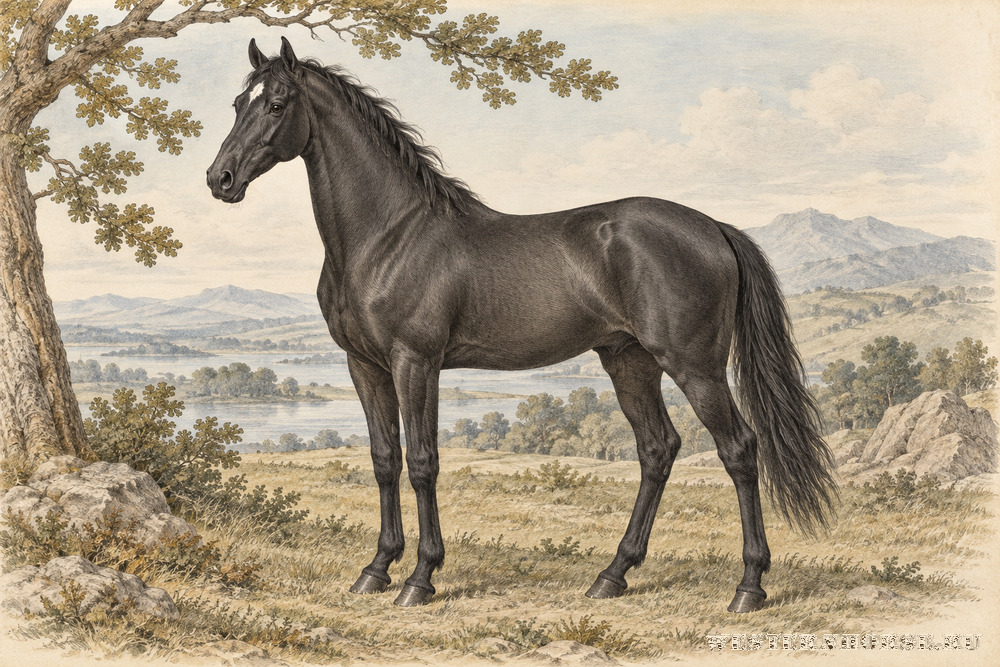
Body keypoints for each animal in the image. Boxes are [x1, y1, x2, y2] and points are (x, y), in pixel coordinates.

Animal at [207, 37, 837, 612]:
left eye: (278, 104)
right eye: (239, 102)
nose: (221, 179)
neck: (388, 236)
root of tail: (714, 228)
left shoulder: (416, 362)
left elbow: (423, 462)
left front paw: (420, 580)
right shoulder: (363, 364)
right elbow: (384, 460)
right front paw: (376, 570)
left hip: (694, 366)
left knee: (739, 449)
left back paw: (748, 588)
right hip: (629, 361)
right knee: (657, 449)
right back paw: (611, 576)